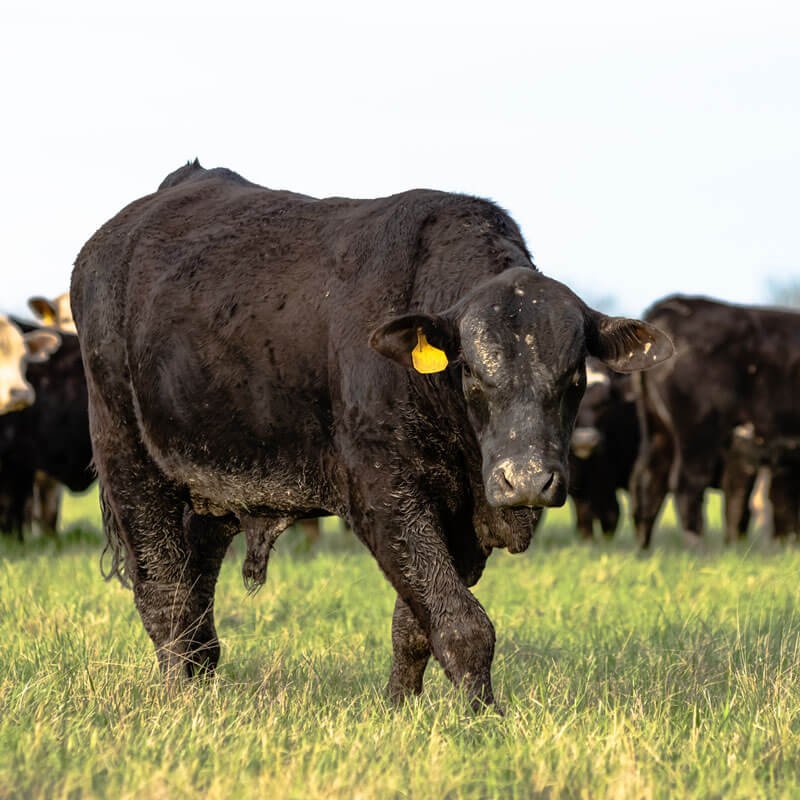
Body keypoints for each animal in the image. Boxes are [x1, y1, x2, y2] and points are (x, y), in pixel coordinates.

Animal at [69, 159, 672, 708]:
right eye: (473, 374)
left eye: (575, 377)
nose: (525, 479)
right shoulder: (382, 494)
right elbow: (463, 625)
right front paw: (483, 720)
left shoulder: (461, 517)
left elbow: (416, 626)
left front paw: (400, 709)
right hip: (128, 460)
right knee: (165, 594)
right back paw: (180, 699)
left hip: (210, 487)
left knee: (196, 603)